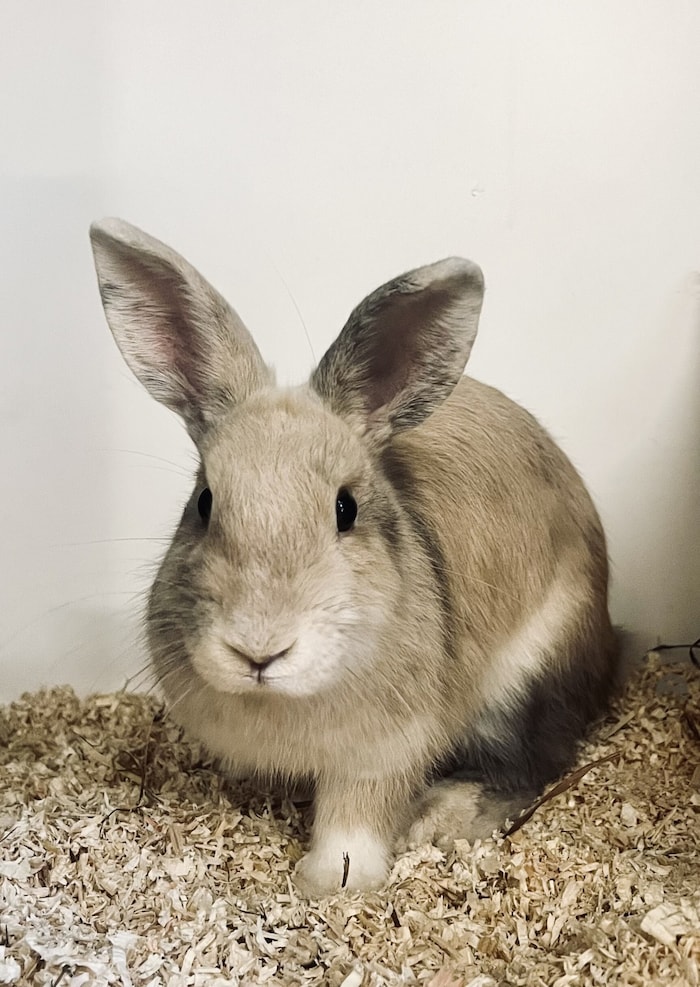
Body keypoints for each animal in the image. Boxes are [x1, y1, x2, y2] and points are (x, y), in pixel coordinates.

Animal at [90, 218, 620, 896]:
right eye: (204, 502)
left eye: (347, 508)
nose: (258, 650)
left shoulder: (384, 749)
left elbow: (356, 815)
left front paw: (332, 881)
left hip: (526, 681)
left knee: (530, 762)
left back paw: (441, 818)